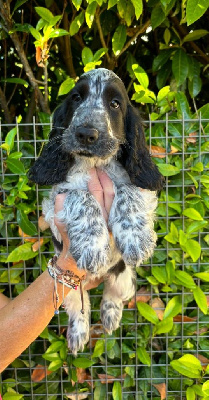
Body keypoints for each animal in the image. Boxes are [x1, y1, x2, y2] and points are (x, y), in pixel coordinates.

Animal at [29, 68, 163, 354]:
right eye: (77, 98)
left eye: (115, 104)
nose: (85, 133)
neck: (95, 164)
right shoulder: (55, 203)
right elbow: (81, 196)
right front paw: (93, 247)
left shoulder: (144, 191)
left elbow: (128, 190)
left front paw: (136, 239)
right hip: (65, 289)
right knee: (79, 307)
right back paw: (78, 334)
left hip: (126, 280)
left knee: (114, 295)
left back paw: (110, 316)